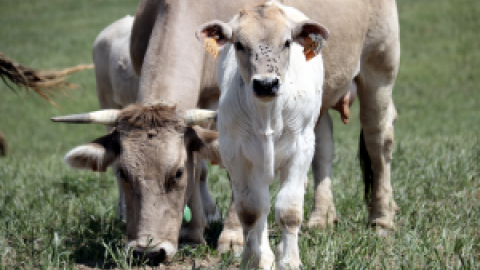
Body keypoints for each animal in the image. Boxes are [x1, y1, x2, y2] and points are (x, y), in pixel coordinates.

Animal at [195, 2, 326, 268]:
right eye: (239, 44)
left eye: (287, 42)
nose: (266, 84)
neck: (267, 114)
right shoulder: (235, 154)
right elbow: (250, 212)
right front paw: (254, 260)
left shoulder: (302, 148)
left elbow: (289, 210)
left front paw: (290, 261)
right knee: (261, 206)